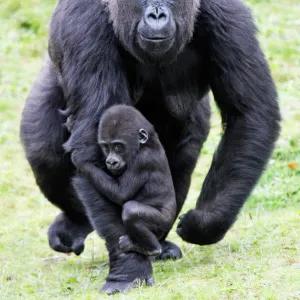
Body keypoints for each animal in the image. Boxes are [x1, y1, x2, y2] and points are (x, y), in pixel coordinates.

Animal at [90, 105, 177, 255]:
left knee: (131, 211)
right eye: (106, 147)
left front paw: (80, 162)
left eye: (118, 147)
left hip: (163, 223)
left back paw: (152, 249)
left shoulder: (142, 160)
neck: (147, 143)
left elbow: (121, 194)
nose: (111, 162)